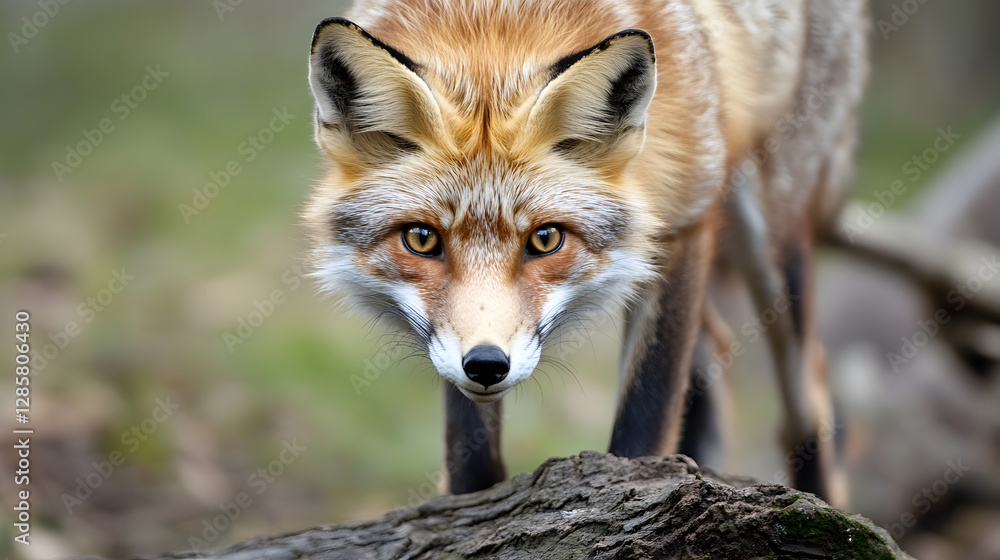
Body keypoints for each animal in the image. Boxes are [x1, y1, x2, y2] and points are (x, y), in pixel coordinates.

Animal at [304, 0, 868, 506]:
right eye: (422, 240)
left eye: (546, 239)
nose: (486, 366)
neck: (496, 24)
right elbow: (471, 459)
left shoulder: (682, 225)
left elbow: (645, 420)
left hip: (766, 231)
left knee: (807, 394)